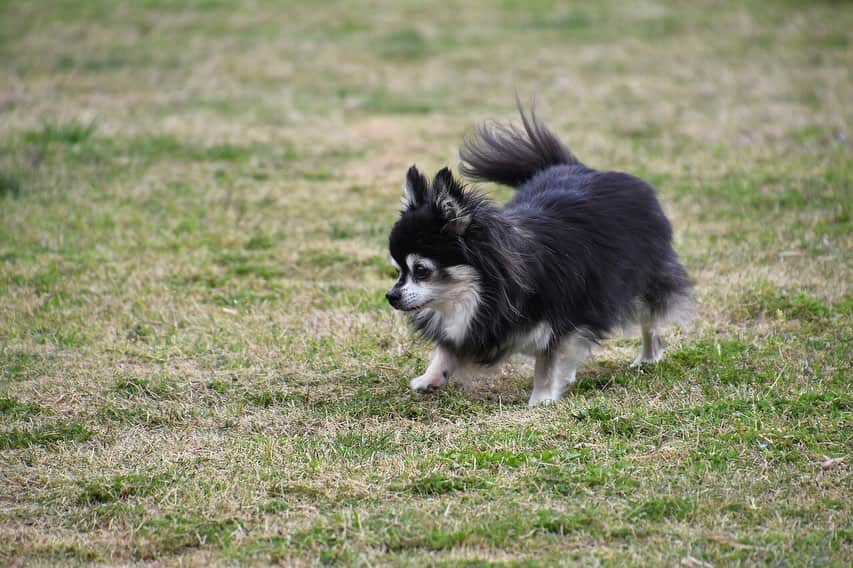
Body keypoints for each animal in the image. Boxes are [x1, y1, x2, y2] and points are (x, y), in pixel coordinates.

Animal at [386, 104, 692, 406]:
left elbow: (548, 360)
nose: (390, 296)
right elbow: (447, 348)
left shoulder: (563, 319)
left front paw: (542, 399)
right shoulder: (474, 326)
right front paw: (431, 377)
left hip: (642, 282)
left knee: (649, 321)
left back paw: (648, 357)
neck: (483, 292)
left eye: (421, 270)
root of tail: (579, 167)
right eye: (397, 270)